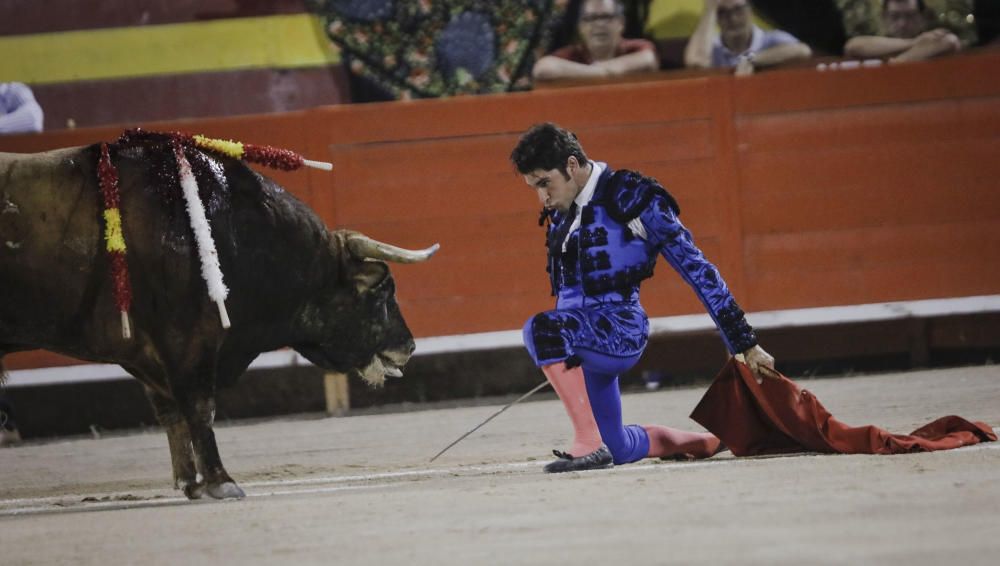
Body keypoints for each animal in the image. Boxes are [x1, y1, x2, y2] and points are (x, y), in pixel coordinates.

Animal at [0, 143, 438, 502]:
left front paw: (191, 483)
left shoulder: (148, 355)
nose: (409, 346)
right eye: (383, 292)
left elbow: (171, 412)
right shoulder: (187, 339)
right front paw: (221, 481)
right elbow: (199, 407)